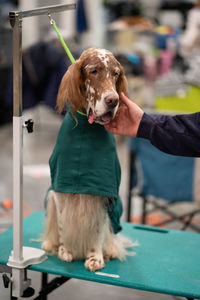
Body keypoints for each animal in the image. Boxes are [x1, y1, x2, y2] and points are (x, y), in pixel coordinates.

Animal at [41, 47, 137, 272]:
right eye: (93, 71)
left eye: (116, 74)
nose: (113, 100)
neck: (87, 127)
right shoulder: (60, 190)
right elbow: (62, 224)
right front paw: (65, 250)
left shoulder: (102, 193)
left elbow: (98, 230)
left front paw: (95, 258)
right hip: (50, 195)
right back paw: (50, 243)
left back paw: (110, 250)